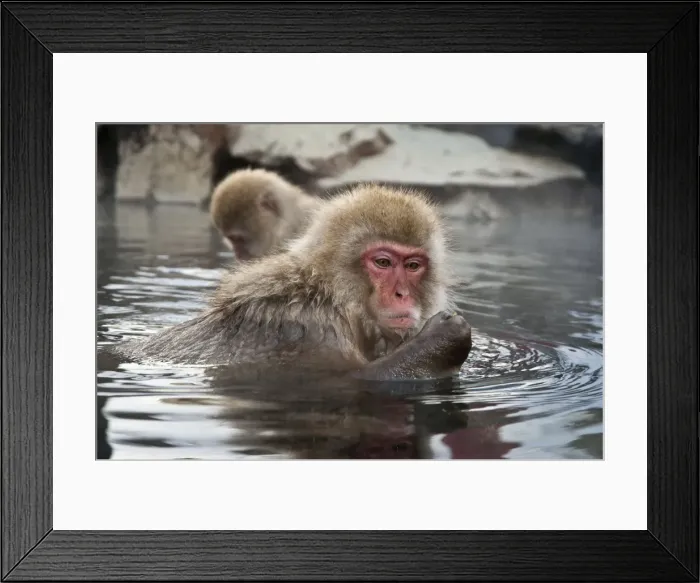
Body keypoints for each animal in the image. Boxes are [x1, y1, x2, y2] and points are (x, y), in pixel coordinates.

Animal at [111, 184, 472, 382]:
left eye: (413, 266)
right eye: (383, 262)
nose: (401, 294)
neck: (332, 296)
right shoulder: (304, 328)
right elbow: (346, 381)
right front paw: (441, 339)